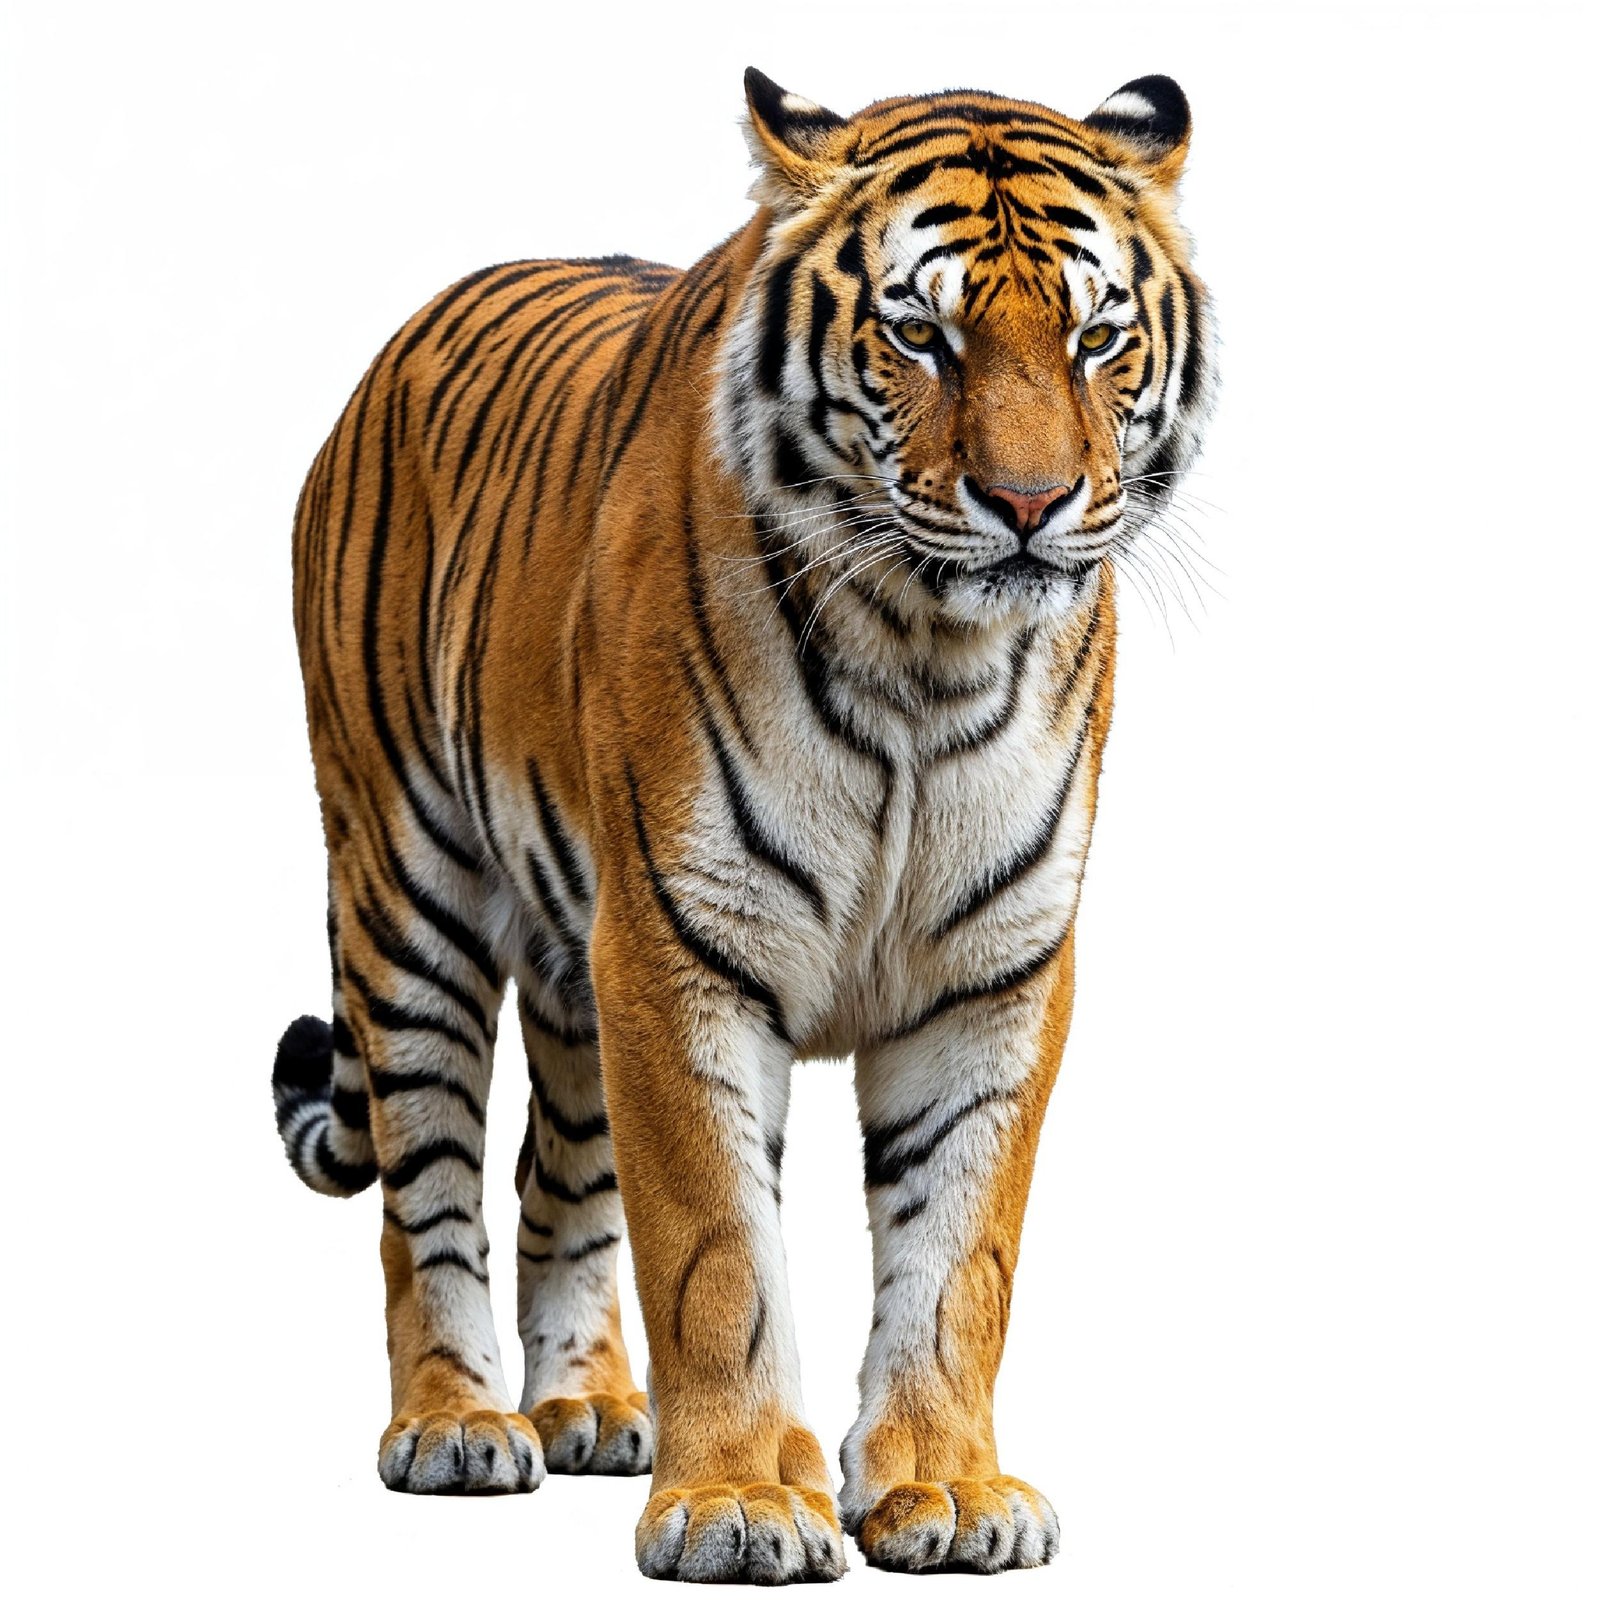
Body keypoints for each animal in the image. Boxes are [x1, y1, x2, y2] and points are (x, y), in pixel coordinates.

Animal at [273, 66, 1214, 1580]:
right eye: (920, 333)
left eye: (1095, 337)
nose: (1029, 505)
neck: (928, 659)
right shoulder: (680, 946)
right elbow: (715, 1251)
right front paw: (735, 1504)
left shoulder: (993, 972)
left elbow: (960, 1257)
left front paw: (945, 1490)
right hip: (403, 894)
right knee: (426, 1189)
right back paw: (458, 1426)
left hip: (571, 955)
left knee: (555, 1173)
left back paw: (591, 1408)